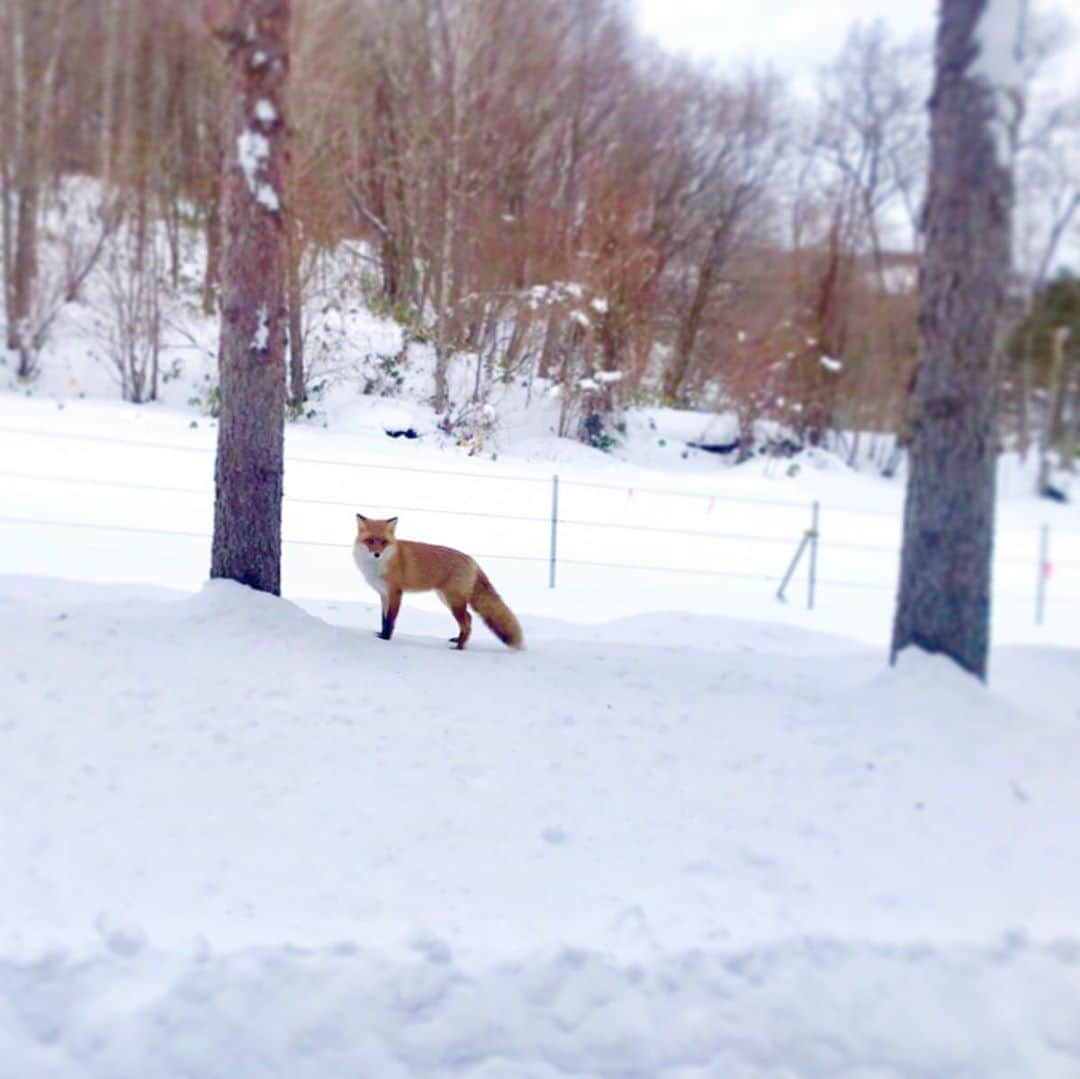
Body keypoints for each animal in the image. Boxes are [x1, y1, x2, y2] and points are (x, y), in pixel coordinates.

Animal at [352, 514, 524, 648]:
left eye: (384, 542)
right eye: (370, 541)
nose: (377, 554)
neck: (379, 566)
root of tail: (471, 559)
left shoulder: (395, 592)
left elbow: (390, 620)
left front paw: (386, 639)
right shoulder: (383, 594)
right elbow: (383, 619)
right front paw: (381, 635)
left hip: (454, 601)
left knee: (466, 621)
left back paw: (460, 647)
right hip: (447, 599)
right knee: (469, 618)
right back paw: (458, 640)